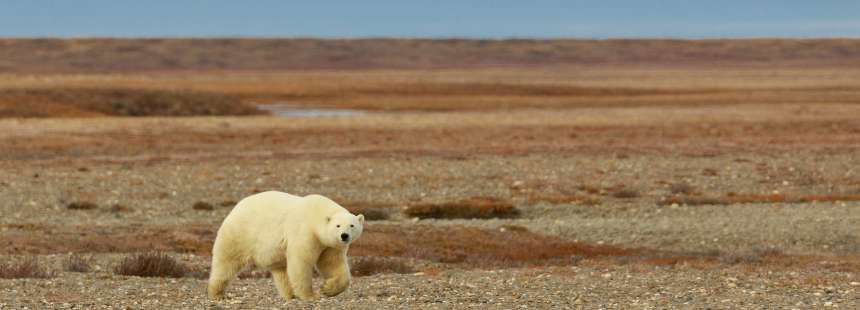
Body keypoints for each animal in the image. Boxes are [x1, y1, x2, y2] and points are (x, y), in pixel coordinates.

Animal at [212, 191, 366, 300]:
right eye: (338, 225)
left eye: (352, 225)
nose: (344, 236)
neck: (316, 214)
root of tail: (236, 207)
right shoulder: (305, 232)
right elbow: (301, 262)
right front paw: (311, 295)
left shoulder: (330, 246)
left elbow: (332, 263)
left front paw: (328, 289)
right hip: (240, 234)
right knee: (227, 262)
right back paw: (216, 293)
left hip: (273, 251)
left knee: (281, 271)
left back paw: (290, 294)